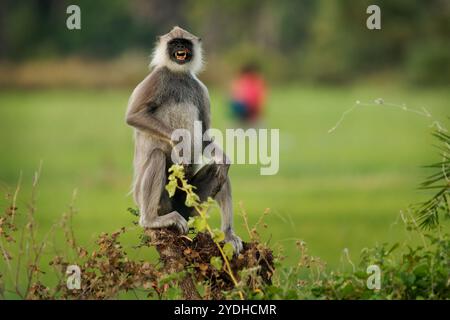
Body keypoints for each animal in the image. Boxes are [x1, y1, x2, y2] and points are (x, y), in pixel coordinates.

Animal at [125, 26, 244, 254]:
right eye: (175, 43)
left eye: (185, 43)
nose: (180, 47)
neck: (177, 75)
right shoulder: (157, 78)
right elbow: (134, 116)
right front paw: (180, 145)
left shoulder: (200, 89)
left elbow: (205, 136)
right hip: (158, 201)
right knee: (156, 156)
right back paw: (151, 220)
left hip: (188, 204)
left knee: (220, 169)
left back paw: (227, 234)